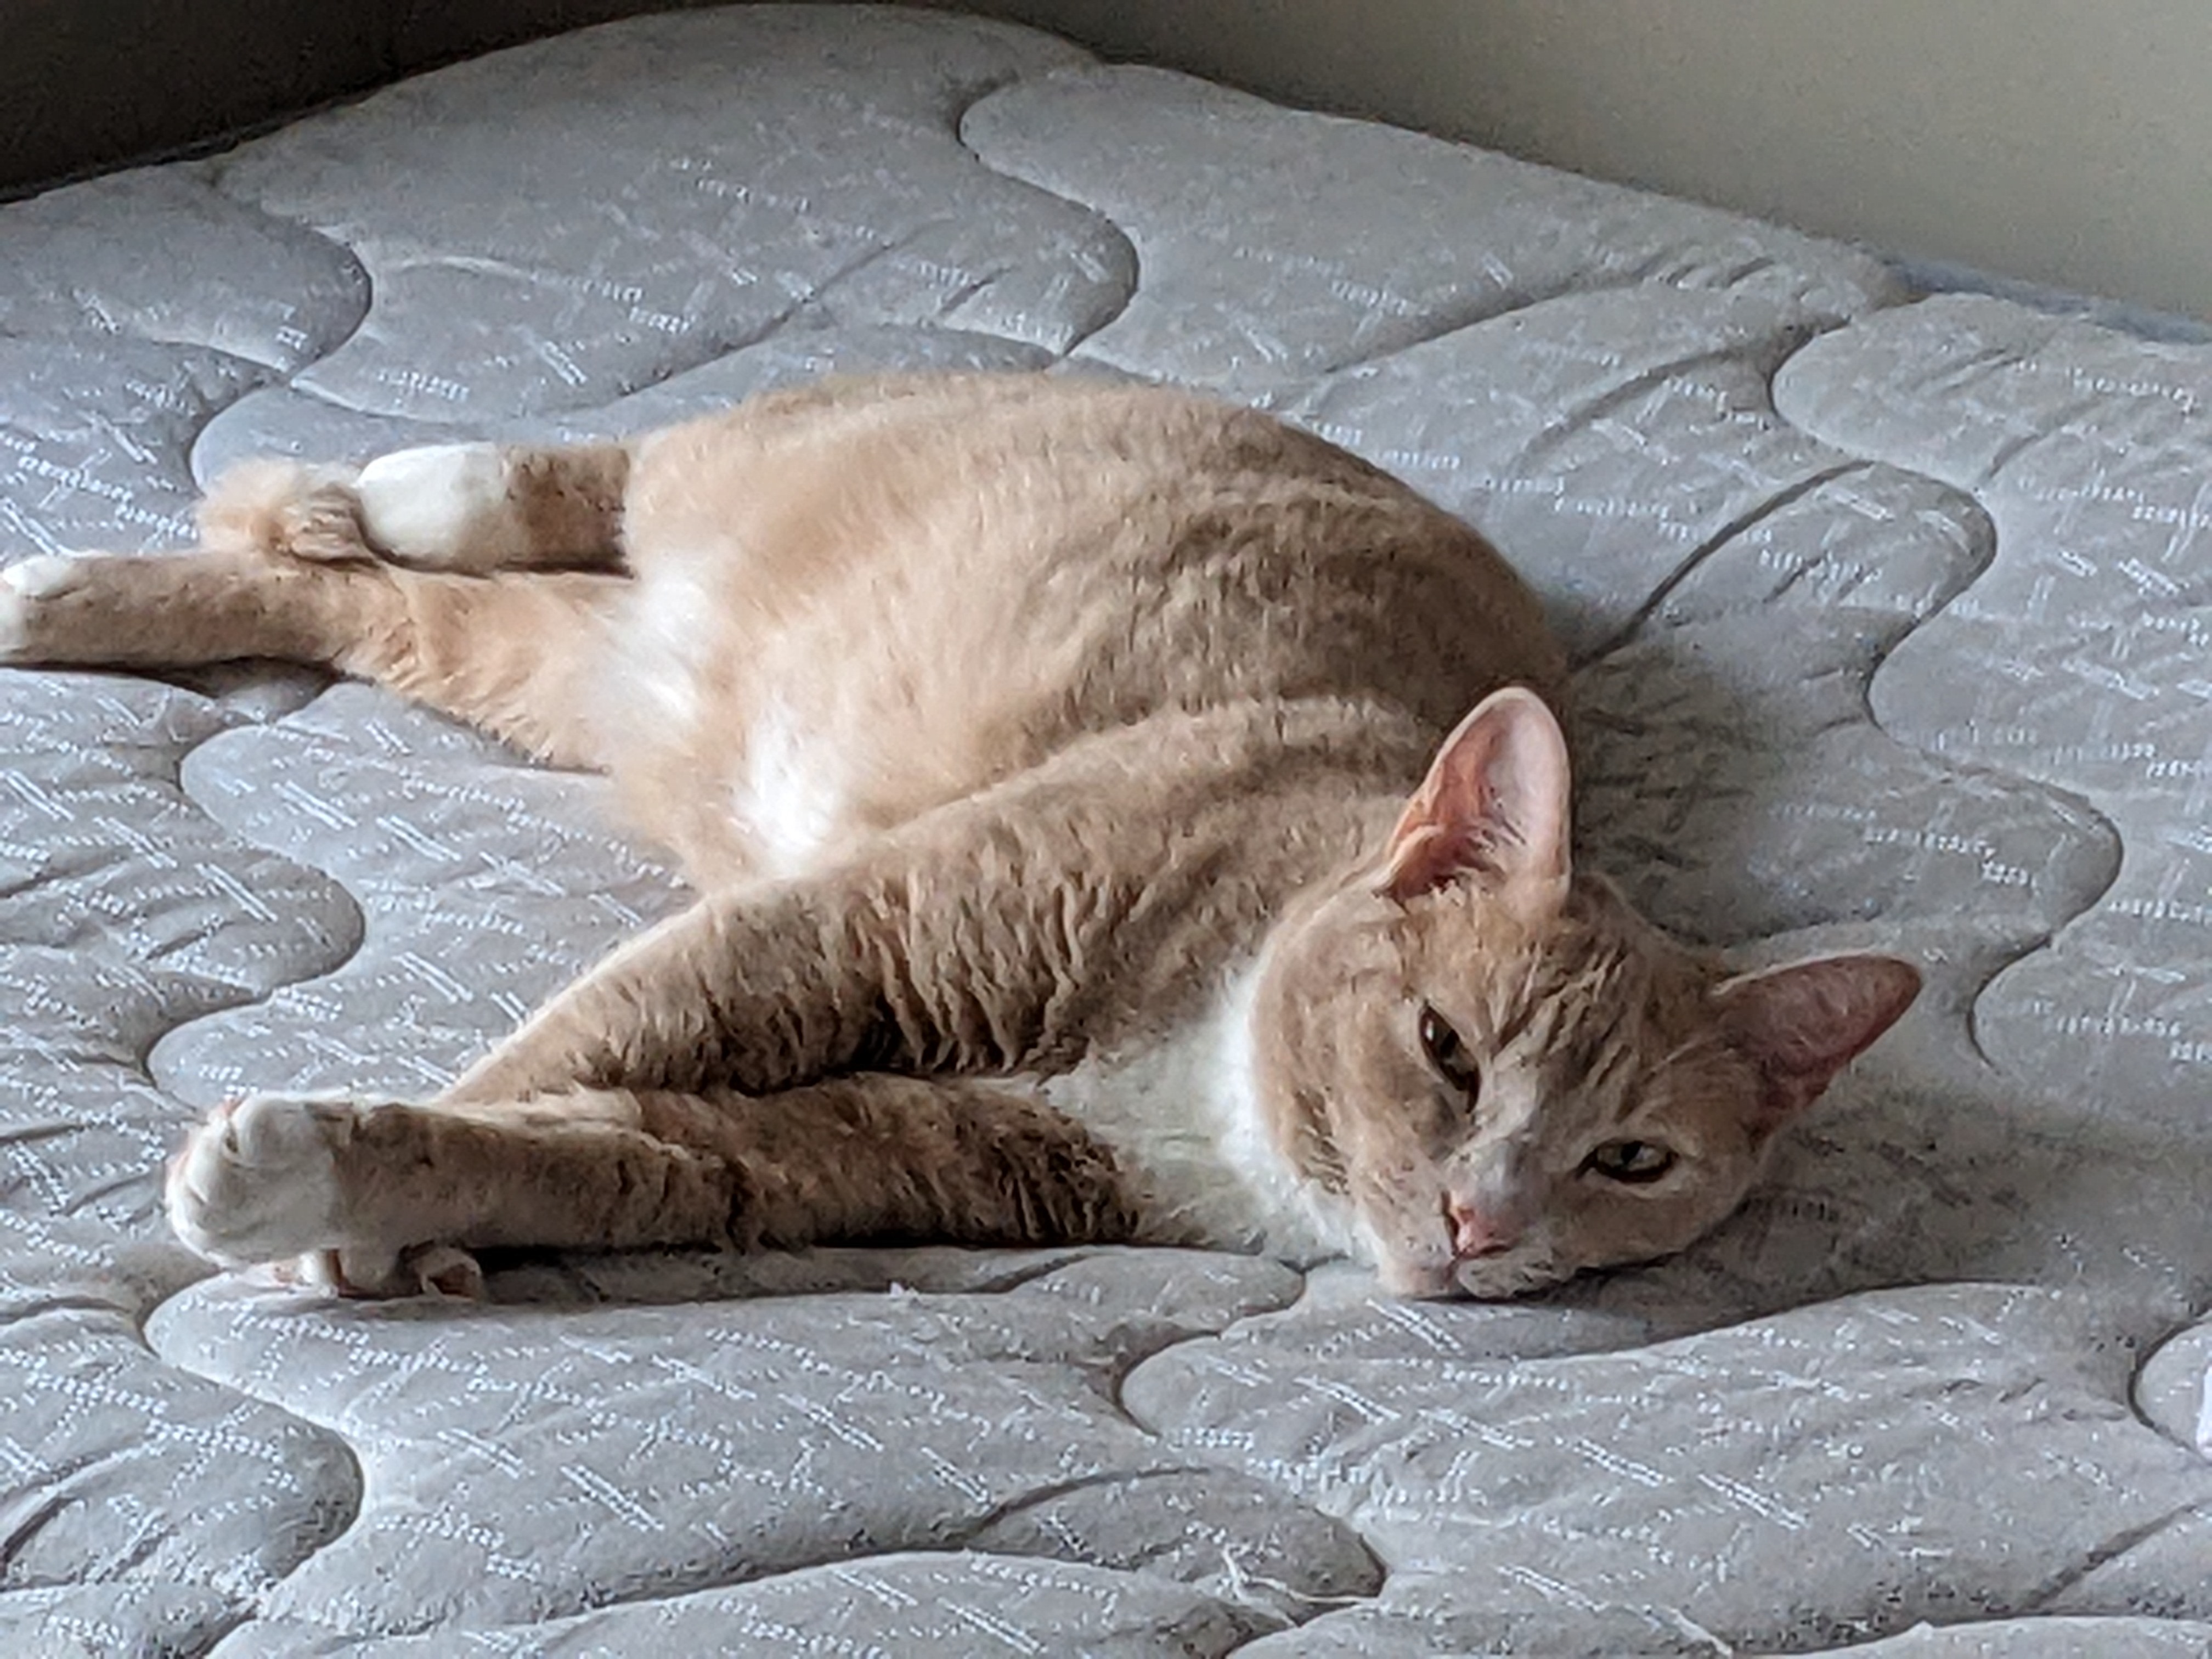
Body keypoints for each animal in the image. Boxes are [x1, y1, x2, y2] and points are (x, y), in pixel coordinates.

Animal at [0, 373, 1919, 1300]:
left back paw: (75, 594)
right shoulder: (850, 933)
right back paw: (390, 487)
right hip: (762, 471)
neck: (1205, 1075)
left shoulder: (872, 1148)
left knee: (347, 605)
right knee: (601, 470)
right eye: (1447, 1051)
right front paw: (330, 1212)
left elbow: (596, 1149)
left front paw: (379, 1203)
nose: (1476, 1221)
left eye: (1631, 1163)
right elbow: (563, 1047)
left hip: (568, 680)